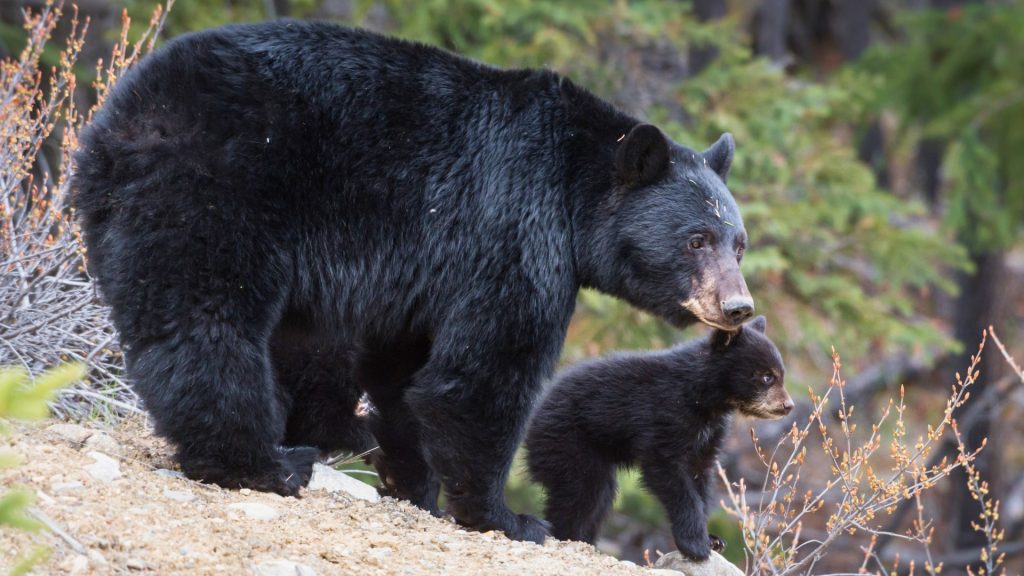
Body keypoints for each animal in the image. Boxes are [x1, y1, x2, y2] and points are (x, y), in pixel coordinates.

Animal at [70, 20, 753, 541]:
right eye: (696, 239)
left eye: (738, 243)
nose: (739, 306)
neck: (572, 188)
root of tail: (121, 118)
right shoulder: (513, 230)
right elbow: (482, 373)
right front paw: (506, 517)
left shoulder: (429, 272)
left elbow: (404, 371)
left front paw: (414, 484)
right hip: (219, 189)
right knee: (209, 320)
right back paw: (264, 462)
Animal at [524, 313, 786, 557]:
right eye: (767, 377)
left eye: (780, 375)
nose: (788, 406)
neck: (703, 398)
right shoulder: (665, 415)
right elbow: (666, 470)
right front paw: (695, 544)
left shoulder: (710, 433)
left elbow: (700, 475)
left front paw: (712, 539)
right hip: (569, 443)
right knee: (581, 494)